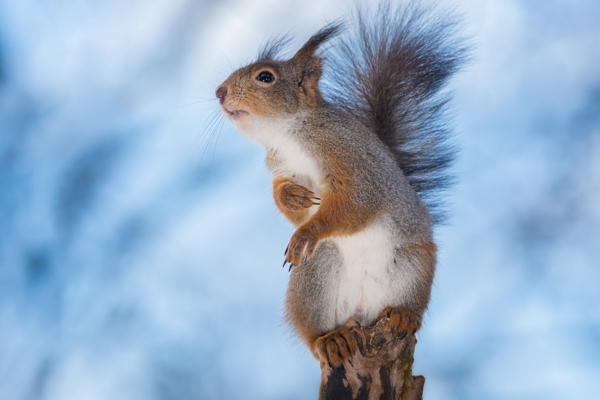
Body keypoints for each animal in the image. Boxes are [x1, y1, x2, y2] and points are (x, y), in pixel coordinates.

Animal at [213, 1, 466, 368]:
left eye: (265, 77)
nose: (219, 92)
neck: (289, 135)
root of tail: (362, 314)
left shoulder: (351, 161)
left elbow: (355, 205)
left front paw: (308, 231)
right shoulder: (280, 167)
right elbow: (287, 200)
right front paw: (291, 197)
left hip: (413, 263)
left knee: (410, 309)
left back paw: (403, 315)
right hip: (316, 271)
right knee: (313, 332)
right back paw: (330, 339)